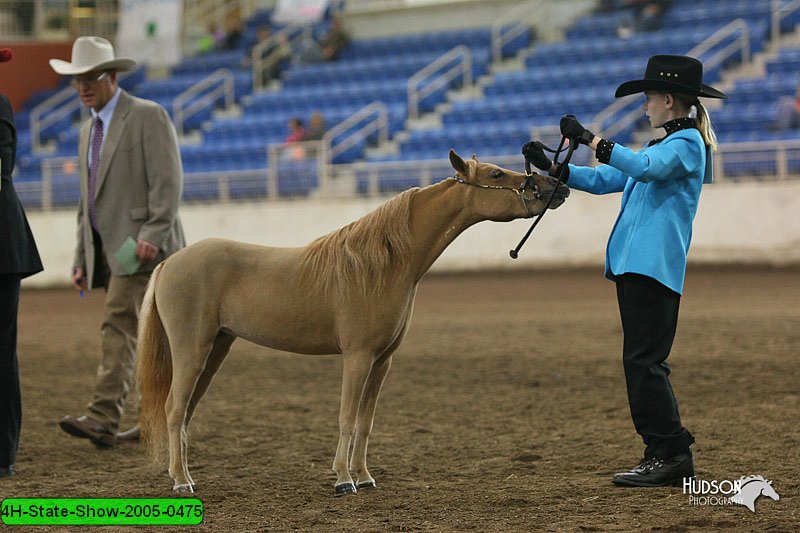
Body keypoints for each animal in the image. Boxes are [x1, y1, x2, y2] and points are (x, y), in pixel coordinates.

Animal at [136, 149, 568, 494]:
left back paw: (183, 474)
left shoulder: (382, 361)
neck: (384, 264)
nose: (556, 185)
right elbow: (346, 417)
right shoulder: (357, 356)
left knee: (186, 412)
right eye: (495, 174)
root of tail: (170, 263)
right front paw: (344, 479)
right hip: (192, 351)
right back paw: (182, 482)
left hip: (216, 350)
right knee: (174, 410)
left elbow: (365, 421)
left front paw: (364, 475)